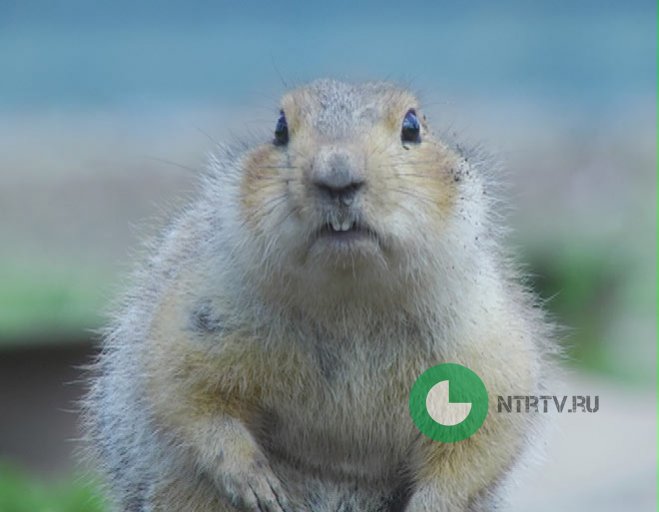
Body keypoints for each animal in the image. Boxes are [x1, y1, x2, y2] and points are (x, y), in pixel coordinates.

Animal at [82, 78, 556, 510]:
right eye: (279, 128)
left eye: (412, 126)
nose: (337, 176)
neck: (350, 301)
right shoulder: (200, 305)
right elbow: (183, 387)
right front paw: (253, 480)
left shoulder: (485, 335)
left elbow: (483, 434)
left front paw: (432, 503)